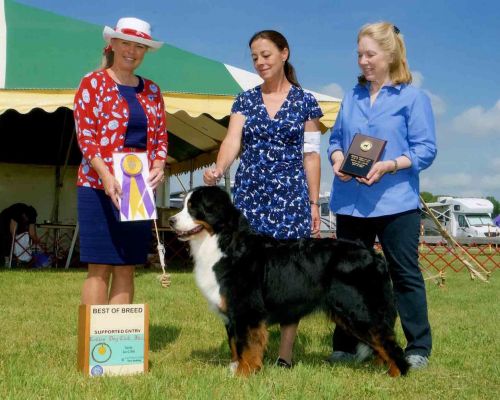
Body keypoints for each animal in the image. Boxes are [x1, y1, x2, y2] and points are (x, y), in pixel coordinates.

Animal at [170, 186, 408, 376]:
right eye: (183, 205)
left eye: (193, 208)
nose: (171, 221)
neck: (224, 242)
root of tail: (373, 254)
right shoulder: (232, 313)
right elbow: (235, 345)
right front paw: (234, 369)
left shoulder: (247, 311)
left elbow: (247, 346)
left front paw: (244, 373)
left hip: (359, 309)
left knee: (388, 342)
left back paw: (397, 373)